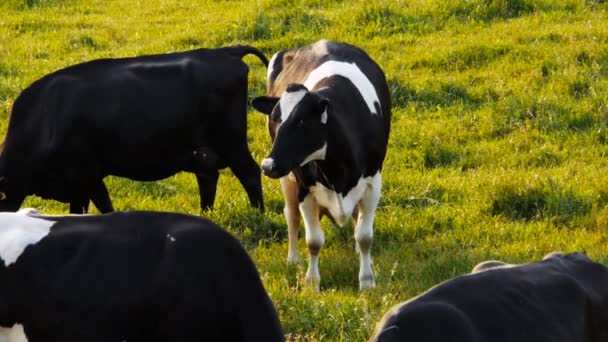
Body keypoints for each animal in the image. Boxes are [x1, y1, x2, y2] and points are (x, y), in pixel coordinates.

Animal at [0, 45, 268, 214]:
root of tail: (226, 51)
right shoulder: (85, 183)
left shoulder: (86, 176)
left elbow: (95, 209)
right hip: (204, 151)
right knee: (208, 177)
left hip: (231, 140)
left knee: (250, 173)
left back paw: (258, 214)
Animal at [251, 40, 390, 292]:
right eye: (275, 119)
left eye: (301, 121)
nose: (267, 165)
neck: (338, 172)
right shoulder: (305, 189)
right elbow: (314, 241)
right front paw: (312, 283)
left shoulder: (373, 183)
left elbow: (364, 236)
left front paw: (367, 280)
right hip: (287, 179)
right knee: (291, 215)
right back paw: (293, 259)